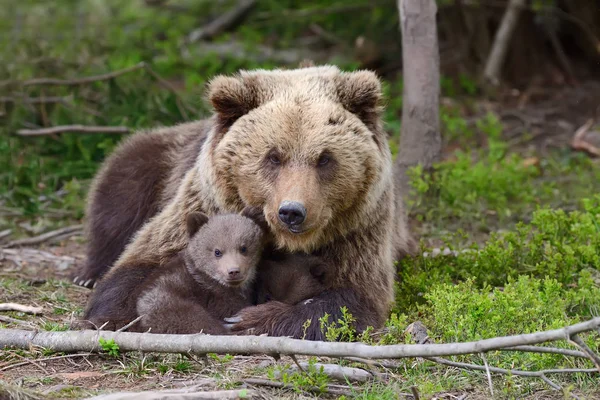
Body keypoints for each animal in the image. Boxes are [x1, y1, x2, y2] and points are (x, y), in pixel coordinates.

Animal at [76, 65, 418, 338]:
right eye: (273, 156)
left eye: (324, 158)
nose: (292, 212)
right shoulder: (204, 205)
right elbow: (137, 265)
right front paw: (110, 317)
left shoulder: (358, 231)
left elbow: (351, 299)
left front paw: (250, 319)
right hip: (159, 160)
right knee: (119, 192)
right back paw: (88, 273)